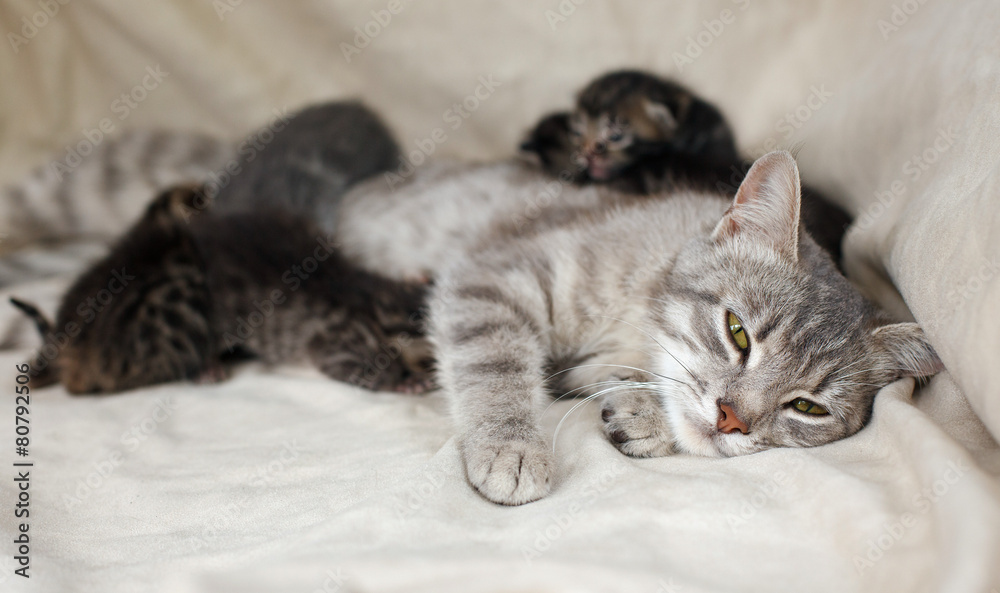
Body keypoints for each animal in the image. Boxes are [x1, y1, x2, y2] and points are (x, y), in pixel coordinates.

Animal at [334, 150, 936, 502]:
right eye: (738, 332)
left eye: (807, 407)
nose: (732, 419)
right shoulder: (493, 276)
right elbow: (494, 364)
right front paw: (511, 446)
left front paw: (644, 414)